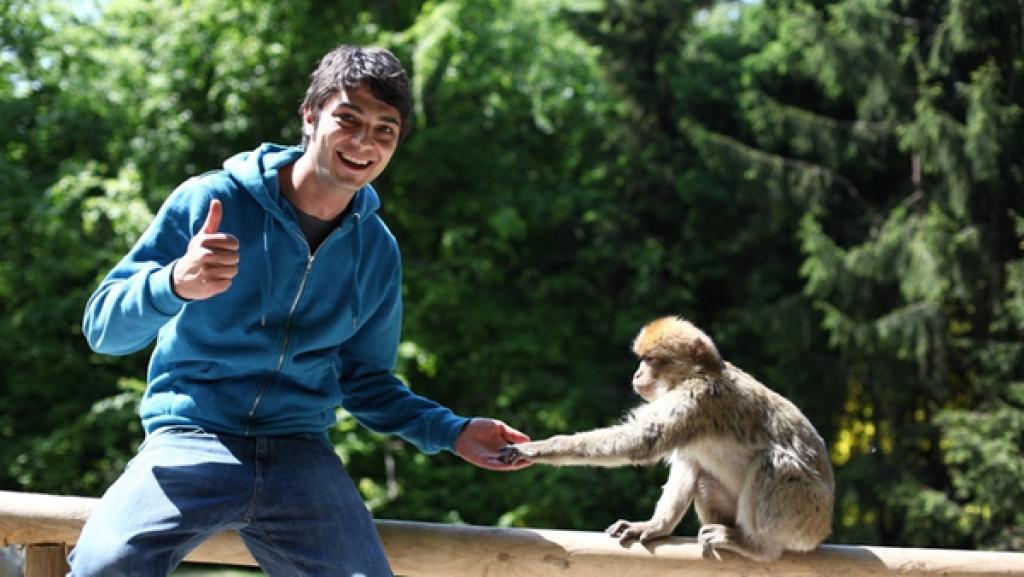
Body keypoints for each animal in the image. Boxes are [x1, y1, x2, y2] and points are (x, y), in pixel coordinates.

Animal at [499, 316, 834, 562]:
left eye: (650, 360)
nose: (637, 374)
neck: (697, 373)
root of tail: (823, 528)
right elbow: (687, 464)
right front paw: (654, 526)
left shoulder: (698, 400)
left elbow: (641, 441)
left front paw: (536, 448)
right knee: (706, 477)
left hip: (805, 514)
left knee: (773, 462)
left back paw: (758, 547)